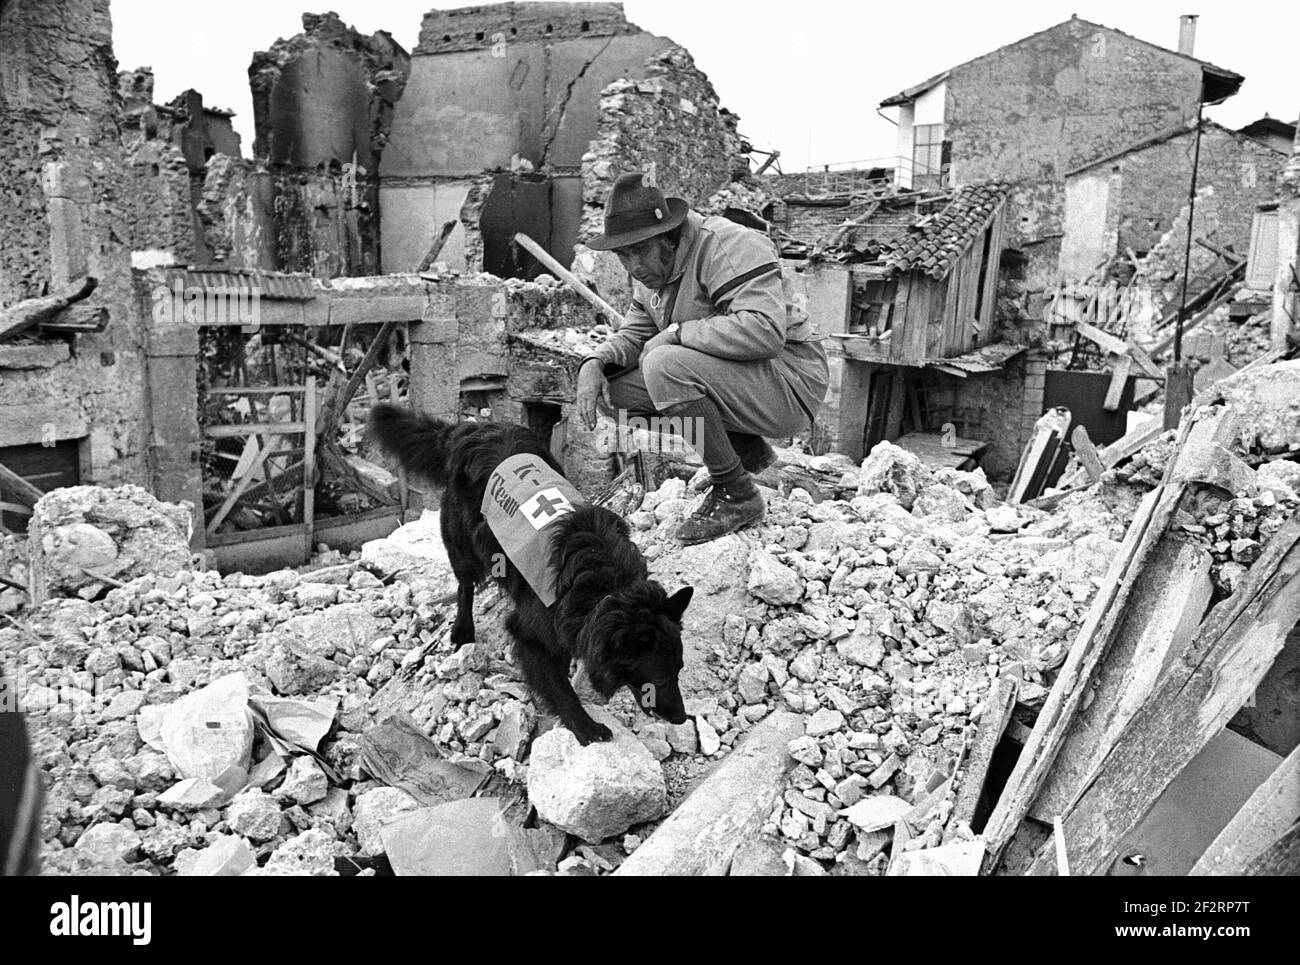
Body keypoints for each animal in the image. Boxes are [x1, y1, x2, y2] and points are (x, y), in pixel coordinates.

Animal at [366, 403, 691, 743]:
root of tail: (472, 429)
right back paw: (463, 629)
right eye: (659, 677)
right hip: (462, 544)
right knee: (464, 585)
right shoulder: (530, 633)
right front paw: (584, 725)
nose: (682, 719)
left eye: (679, 670)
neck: (605, 590)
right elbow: (559, 688)